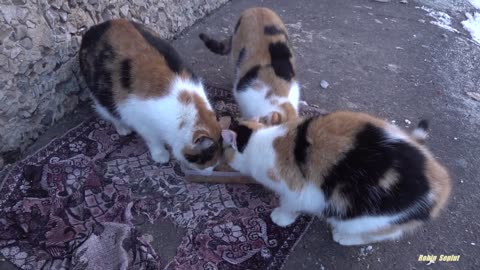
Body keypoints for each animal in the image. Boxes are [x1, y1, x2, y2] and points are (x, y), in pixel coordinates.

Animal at [79, 19, 224, 171]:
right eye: (207, 158)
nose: (213, 170)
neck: (186, 104)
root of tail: (94, 28)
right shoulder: (142, 122)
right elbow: (153, 140)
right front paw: (160, 155)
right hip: (103, 95)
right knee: (110, 112)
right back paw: (123, 128)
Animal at [219, 110, 452, 246]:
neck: (258, 141)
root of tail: (442, 186)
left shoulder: (296, 190)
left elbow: (289, 205)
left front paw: (281, 218)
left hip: (367, 218)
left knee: (385, 234)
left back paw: (345, 238)